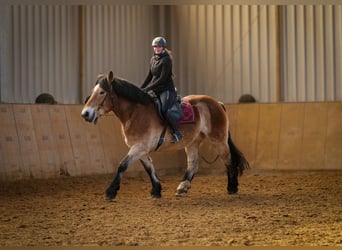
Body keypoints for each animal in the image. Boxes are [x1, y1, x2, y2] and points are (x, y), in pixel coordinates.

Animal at [81, 71, 250, 200]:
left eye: (102, 92)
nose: (85, 114)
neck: (135, 113)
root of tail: (217, 103)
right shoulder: (140, 148)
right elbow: (149, 168)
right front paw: (156, 190)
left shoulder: (139, 147)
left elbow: (122, 166)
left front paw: (110, 192)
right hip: (193, 142)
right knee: (193, 164)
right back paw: (182, 187)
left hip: (218, 140)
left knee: (228, 160)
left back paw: (232, 187)